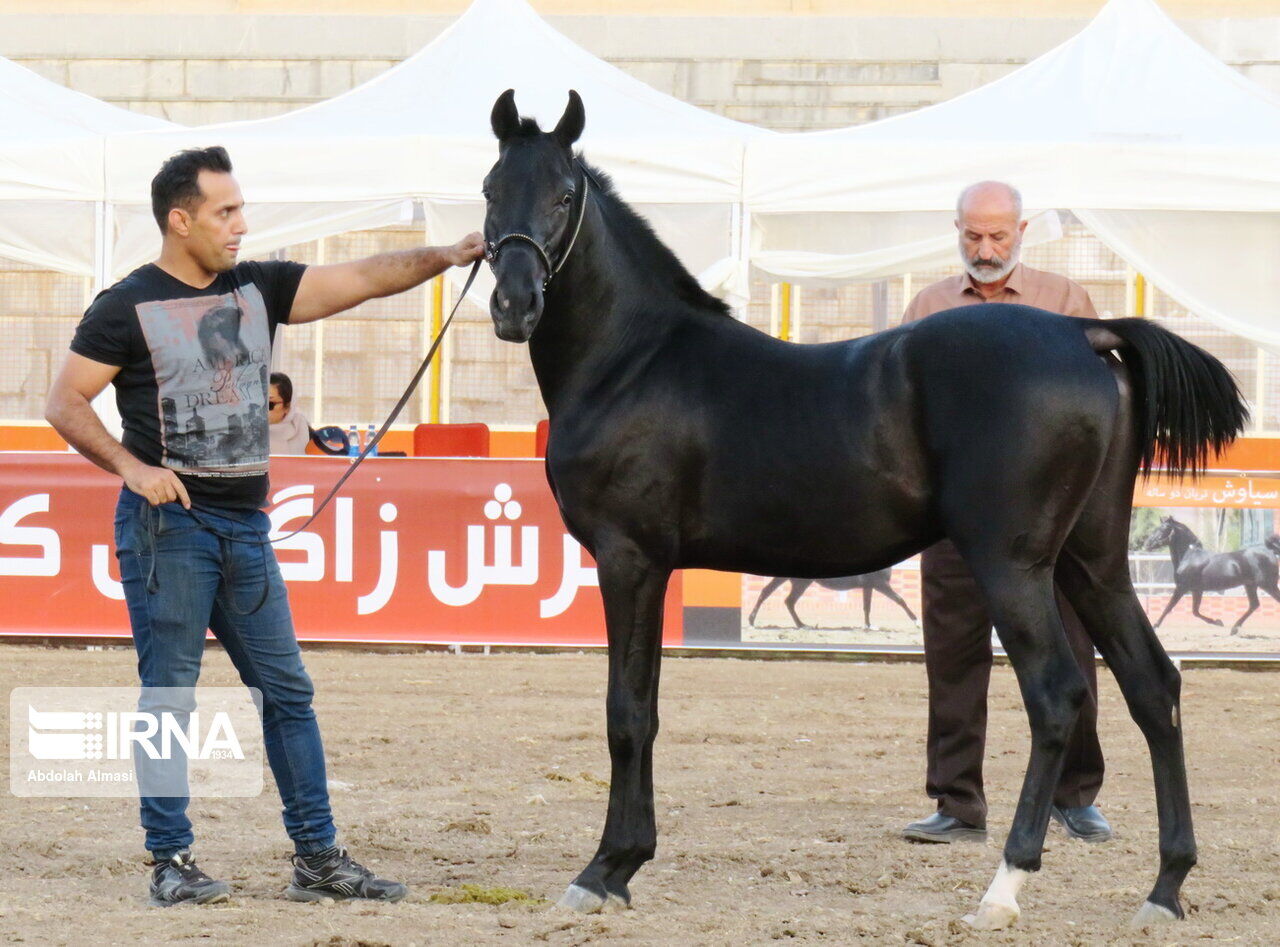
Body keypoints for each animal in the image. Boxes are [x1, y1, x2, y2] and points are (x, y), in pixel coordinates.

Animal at [747, 570, 916, 629]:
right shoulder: (880, 584)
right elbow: (900, 600)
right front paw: (916, 622)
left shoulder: (869, 586)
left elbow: (866, 607)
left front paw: (868, 626)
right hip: (798, 582)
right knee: (777, 597)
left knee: (784, 599)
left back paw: (802, 625)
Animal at [1141, 517, 1280, 637]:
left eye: (1163, 529)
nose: (1147, 544)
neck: (1189, 556)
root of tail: (1270, 552)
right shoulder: (1197, 590)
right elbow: (1195, 611)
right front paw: (1218, 622)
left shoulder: (1181, 588)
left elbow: (1168, 607)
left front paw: (1155, 625)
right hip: (1250, 585)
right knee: (1254, 605)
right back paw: (1234, 629)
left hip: (1267, 584)